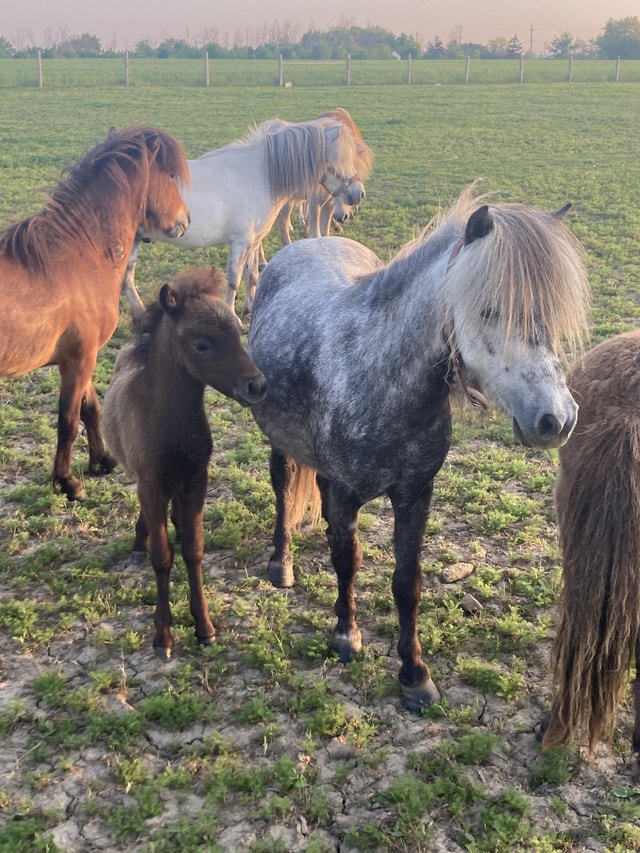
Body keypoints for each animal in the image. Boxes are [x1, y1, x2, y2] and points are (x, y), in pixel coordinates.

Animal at [0, 125, 190, 501]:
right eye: (168, 176)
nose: (185, 219)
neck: (80, 254)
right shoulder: (78, 359)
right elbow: (68, 420)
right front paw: (68, 482)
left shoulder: (84, 355)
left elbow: (90, 408)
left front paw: (101, 461)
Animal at [102, 266, 267, 659]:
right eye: (201, 344)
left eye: (237, 332)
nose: (257, 385)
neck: (170, 423)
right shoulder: (151, 485)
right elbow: (162, 557)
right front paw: (163, 635)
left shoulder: (196, 481)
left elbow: (193, 550)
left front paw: (204, 626)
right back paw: (138, 543)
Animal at [121, 113, 369, 322]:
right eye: (341, 160)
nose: (359, 193)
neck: (260, 175)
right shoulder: (240, 241)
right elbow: (233, 280)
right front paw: (232, 315)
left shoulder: (255, 240)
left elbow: (252, 275)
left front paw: (250, 307)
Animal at [247, 185, 590, 710]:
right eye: (489, 311)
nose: (558, 419)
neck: (378, 371)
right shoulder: (347, 491)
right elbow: (348, 562)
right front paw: (346, 635)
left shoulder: (415, 494)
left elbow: (407, 583)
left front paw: (414, 674)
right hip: (279, 441)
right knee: (284, 489)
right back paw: (281, 564)